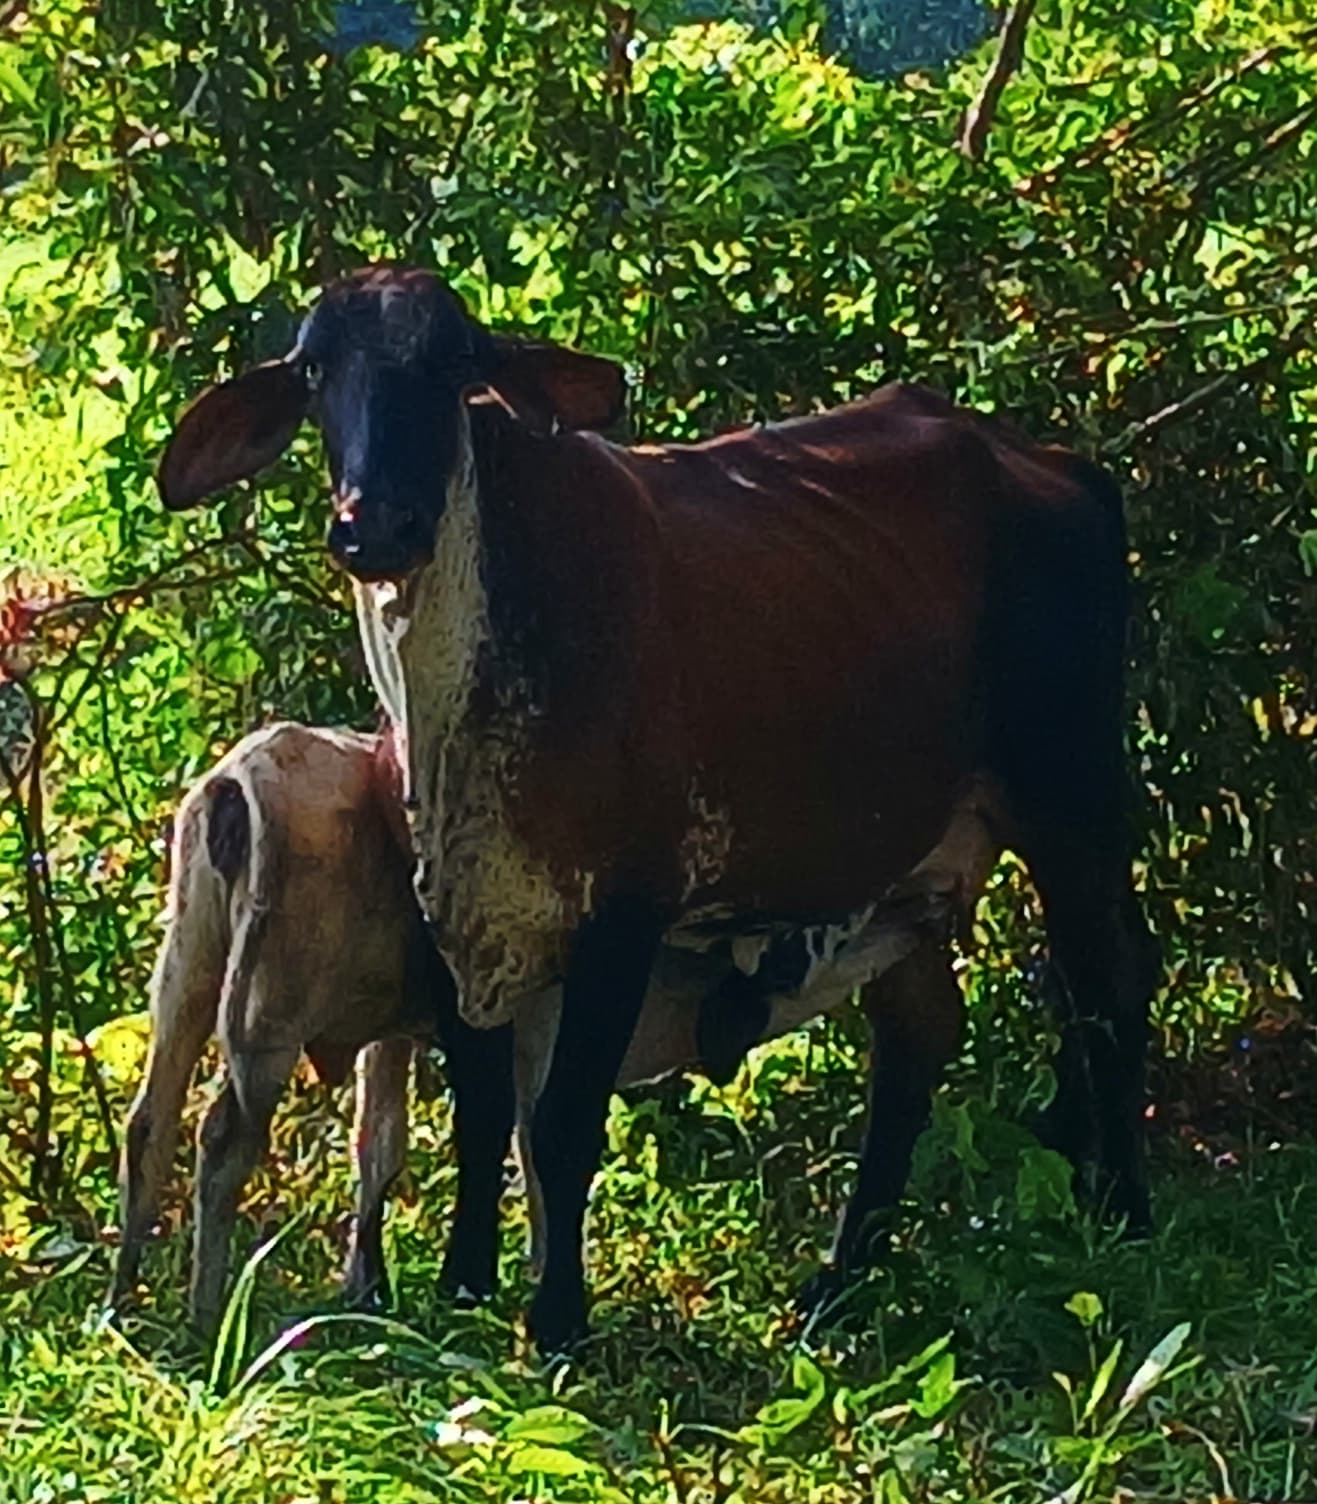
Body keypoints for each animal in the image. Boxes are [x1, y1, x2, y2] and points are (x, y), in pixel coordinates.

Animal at [155, 265, 1159, 1352]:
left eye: (453, 361)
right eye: (313, 371)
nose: (372, 524)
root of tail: (1054, 466)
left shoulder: (625, 910)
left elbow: (562, 1123)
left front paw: (556, 1320)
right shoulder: (454, 909)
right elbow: (478, 1112)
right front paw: (464, 1289)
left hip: (1072, 798)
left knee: (1109, 986)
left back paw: (1125, 1219)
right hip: (905, 862)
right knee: (921, 1032)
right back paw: (840, 1281)